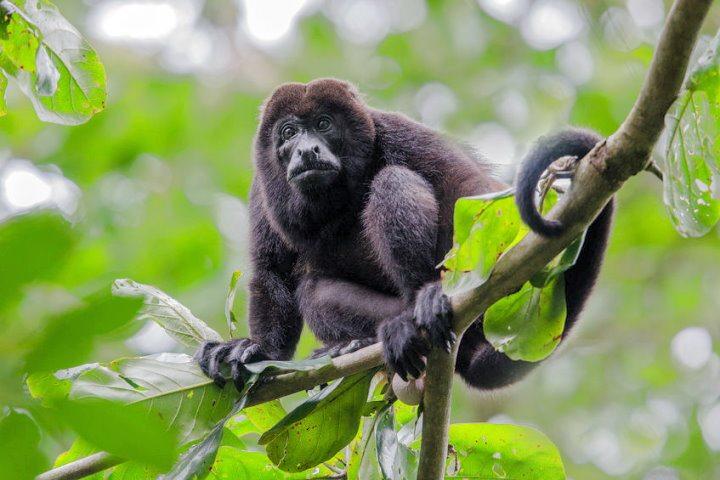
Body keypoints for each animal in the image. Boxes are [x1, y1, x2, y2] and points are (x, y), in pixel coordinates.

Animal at [197, 79, 612, 392]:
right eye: (289, 132)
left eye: (324, 124)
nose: (307, 150)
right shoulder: (262, 187)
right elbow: (273, 271)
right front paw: (256, 351)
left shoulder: (396, 131)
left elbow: (466, 187)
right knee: (314, 291)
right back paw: (366, 340)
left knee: (393, 181)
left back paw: (422, 303)